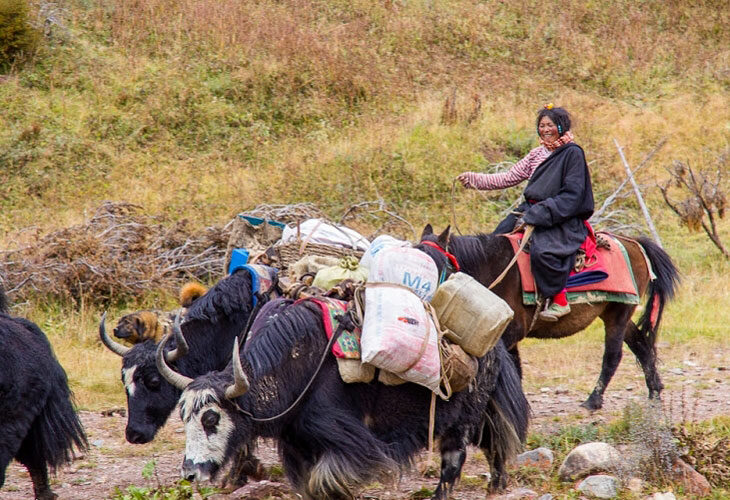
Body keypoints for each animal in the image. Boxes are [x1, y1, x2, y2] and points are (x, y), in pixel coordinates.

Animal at [418, 227, 680, 410]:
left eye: (437, 264)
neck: (493, 268)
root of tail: (634, 243)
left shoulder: (509, 335)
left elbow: (512, 372)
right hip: (617, 315)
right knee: (641, 345)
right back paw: (655, 392)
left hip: (619, 313)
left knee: (613, 356)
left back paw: (593, 401)